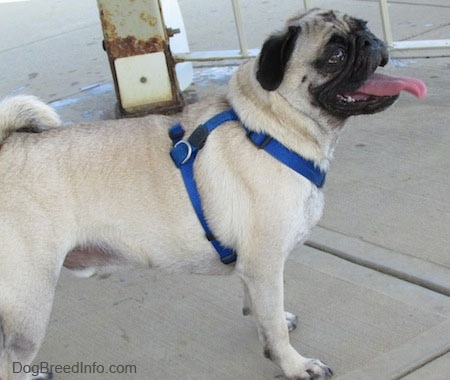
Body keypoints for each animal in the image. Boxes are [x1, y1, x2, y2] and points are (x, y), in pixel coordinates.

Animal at [0, 6, 426, 380]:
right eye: (335, 55)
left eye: (364, 27)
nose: (370, 41)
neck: (269, 126)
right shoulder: (265, 263)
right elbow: (274, 324)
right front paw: (294, 365)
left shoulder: (252, 268)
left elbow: (262, 312)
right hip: (28, 306)